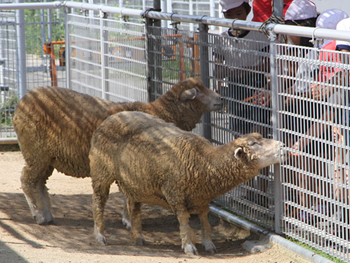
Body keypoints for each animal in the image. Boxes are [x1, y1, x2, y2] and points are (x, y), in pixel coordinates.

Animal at [13, 78, 221, 225]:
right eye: (199, 92)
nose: (221, 100)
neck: (160, 112)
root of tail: (23, 101)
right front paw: (129, 221)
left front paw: (127, 219)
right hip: (35, 152)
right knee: (27, 180)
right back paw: (39, 215)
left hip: (46, 156)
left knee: (39, 183)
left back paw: (47, 214)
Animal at [90, 111, 284, 256]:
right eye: (254, 143)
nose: (282, 146)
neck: (205, 161)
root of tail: (110, 117)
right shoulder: (175, 194)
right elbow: (184, 220)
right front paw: (189, 246)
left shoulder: (202, 198)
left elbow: (205, 220)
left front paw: (209, 243)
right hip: (101, 173)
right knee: (99, 203)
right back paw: (99, 235)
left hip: (135, 182)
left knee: (134, 208)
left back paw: (137, 237)